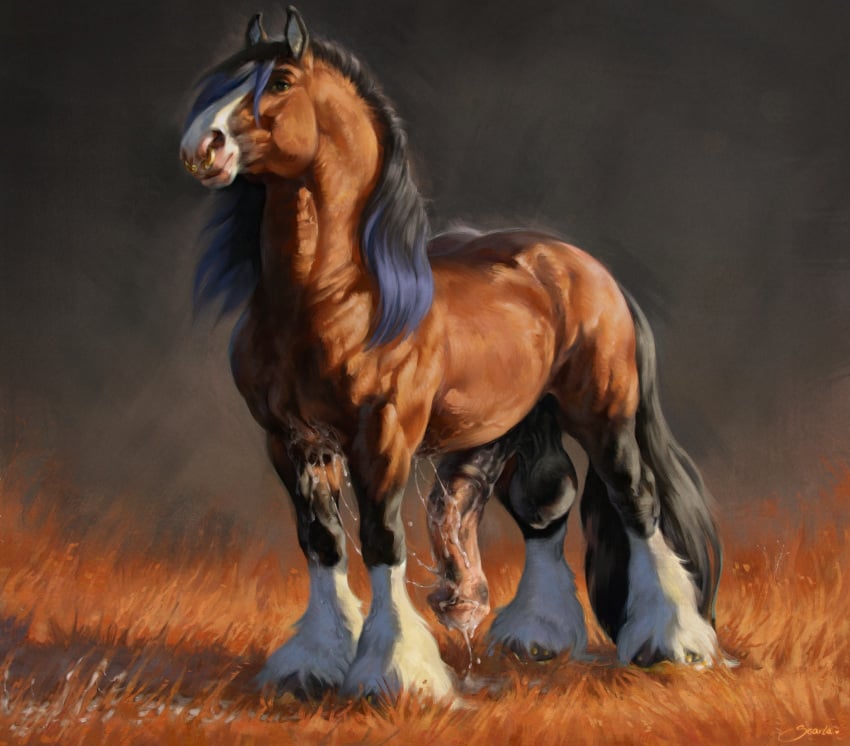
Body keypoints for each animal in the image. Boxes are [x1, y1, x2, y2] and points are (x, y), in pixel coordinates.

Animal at [179, 7, 724, 701]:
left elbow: (381, 541)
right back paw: (537, 637)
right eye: (226, 78)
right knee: (546, 506)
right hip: (525, 420)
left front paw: (394, 672)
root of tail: (585, 267)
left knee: (637, 500)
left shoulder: (382, 436)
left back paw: (671, 642)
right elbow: (322, 542)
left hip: (604, 413)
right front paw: (313, 663)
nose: (201, 147)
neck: (334, 299)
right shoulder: (291, 441)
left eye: (278, 81)